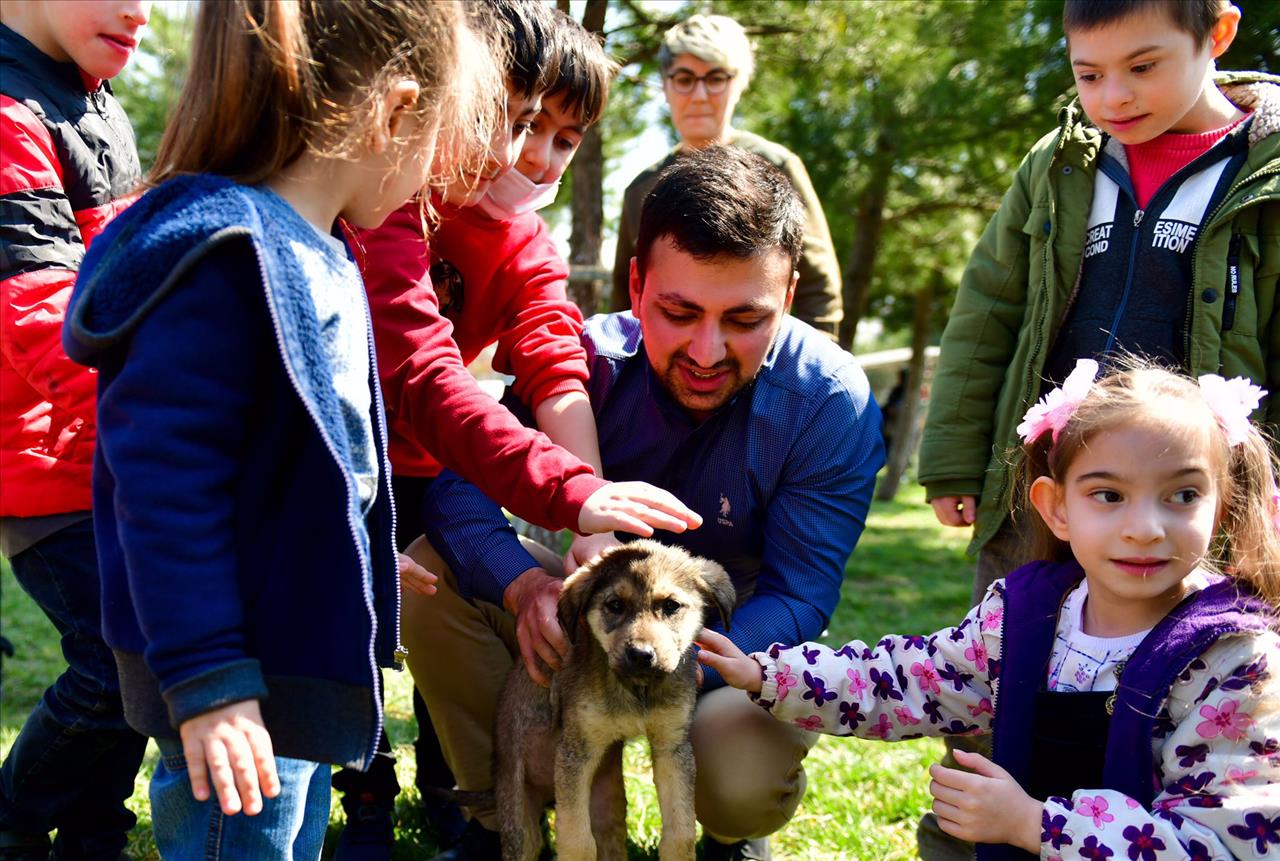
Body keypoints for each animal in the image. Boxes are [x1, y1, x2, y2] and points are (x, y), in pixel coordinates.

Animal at [494, 537, 737, 859]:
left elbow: (680, 833)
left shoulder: (671, 747)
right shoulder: (577, 750)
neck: (637, 689)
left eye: (671, 606)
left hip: (609, 805)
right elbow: (577, 840)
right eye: (615, 605)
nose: (642, 656)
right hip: (518, 815)